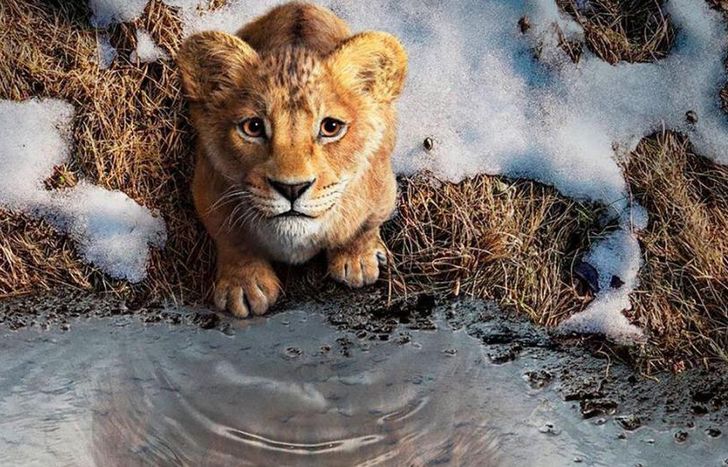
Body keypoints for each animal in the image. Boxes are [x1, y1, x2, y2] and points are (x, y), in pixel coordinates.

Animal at [177, 2, 408, 317]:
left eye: (330, 127)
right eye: (253, 127)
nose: (292, 188)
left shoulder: (382, 188)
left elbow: (364, 226)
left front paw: (357, 260)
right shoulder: (208, 188)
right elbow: (232, 238)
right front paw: (244, 286)